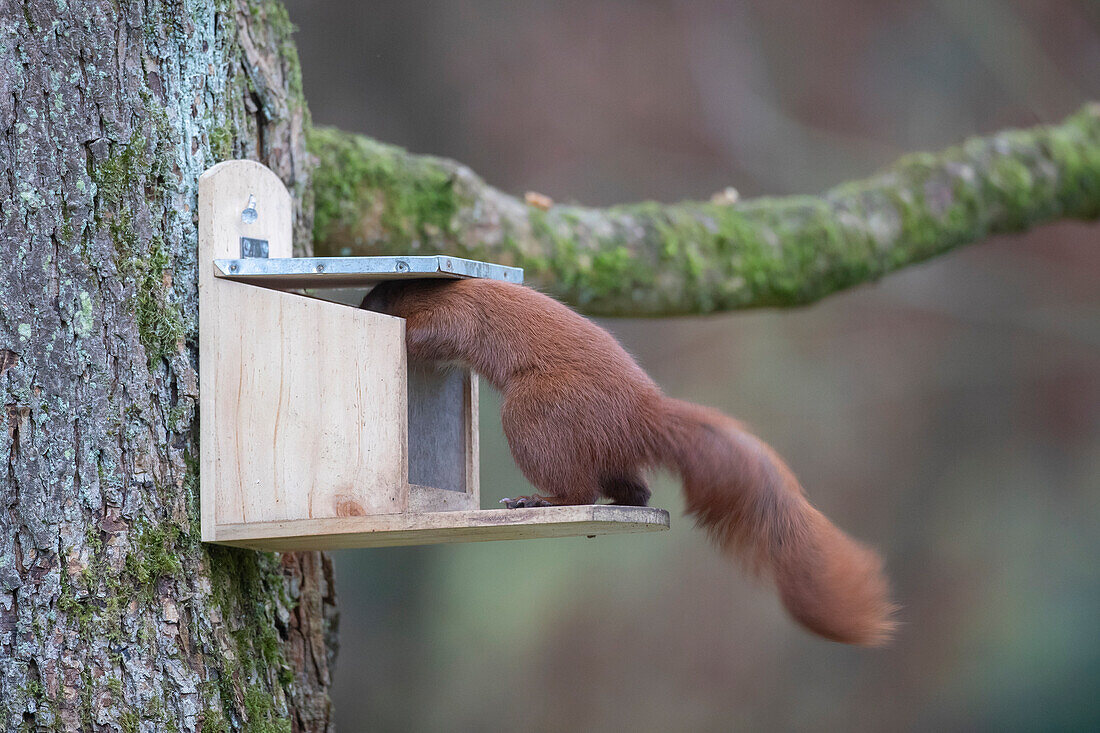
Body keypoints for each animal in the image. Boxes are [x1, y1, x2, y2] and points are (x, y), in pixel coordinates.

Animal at [365, 277, 897, 642]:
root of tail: (639, 415)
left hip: (534, 414)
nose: (359, 305)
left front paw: (400, 334)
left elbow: (429, 332)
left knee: (579, 489)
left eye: (371, 298)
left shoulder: (456, 313)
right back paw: (618, 501)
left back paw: (534, 500)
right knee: (634, 488)